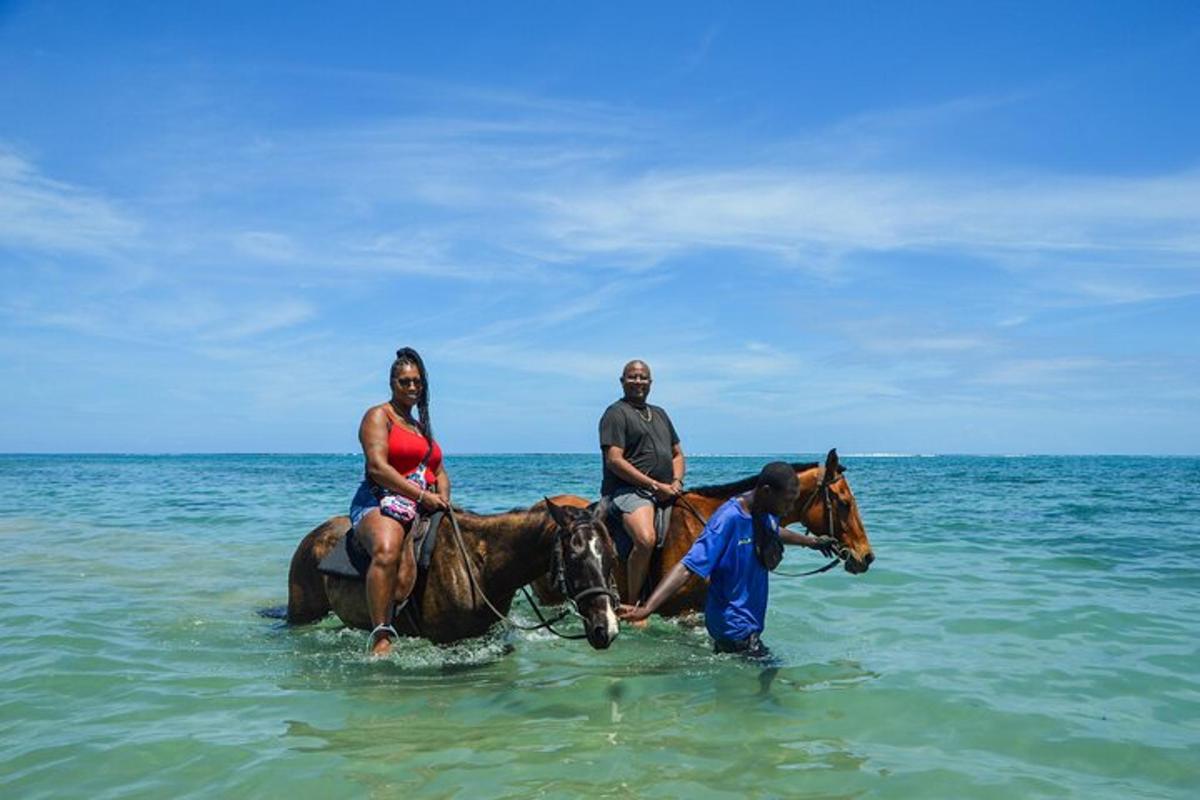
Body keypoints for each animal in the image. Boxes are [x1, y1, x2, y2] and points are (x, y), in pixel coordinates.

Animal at [283, 496, 619, 647]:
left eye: (613, 556)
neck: (479, 564)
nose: (607, 629)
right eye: (574, 556)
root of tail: (313, 536)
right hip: (302, 614)